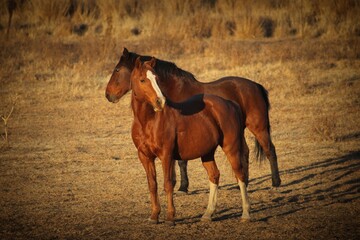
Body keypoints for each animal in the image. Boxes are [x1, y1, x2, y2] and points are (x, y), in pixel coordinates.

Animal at [105, 47, 280, 192]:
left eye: (117, 69)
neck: (175, 90)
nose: (108, 95)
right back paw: (243, 183)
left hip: (258, 127)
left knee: (269, 149)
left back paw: (276, 182)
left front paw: (183, 186)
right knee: (245, 152)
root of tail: (256, 86)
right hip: (239, 130)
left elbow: (182, 161)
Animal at [129, 56, 250, 225]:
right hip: (207, 153)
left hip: (231, 148)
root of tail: (230, 103)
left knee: (240, 175)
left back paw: (245, 214)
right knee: (214, 175)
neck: (148, 122)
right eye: (142, 80)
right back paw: (208, 214)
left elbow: (168, 184)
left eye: (156, 79)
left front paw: (170, 217)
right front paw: (154, 216)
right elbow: (152, 185)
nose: (160, 101)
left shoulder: (166, 155)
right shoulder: (145, 157)